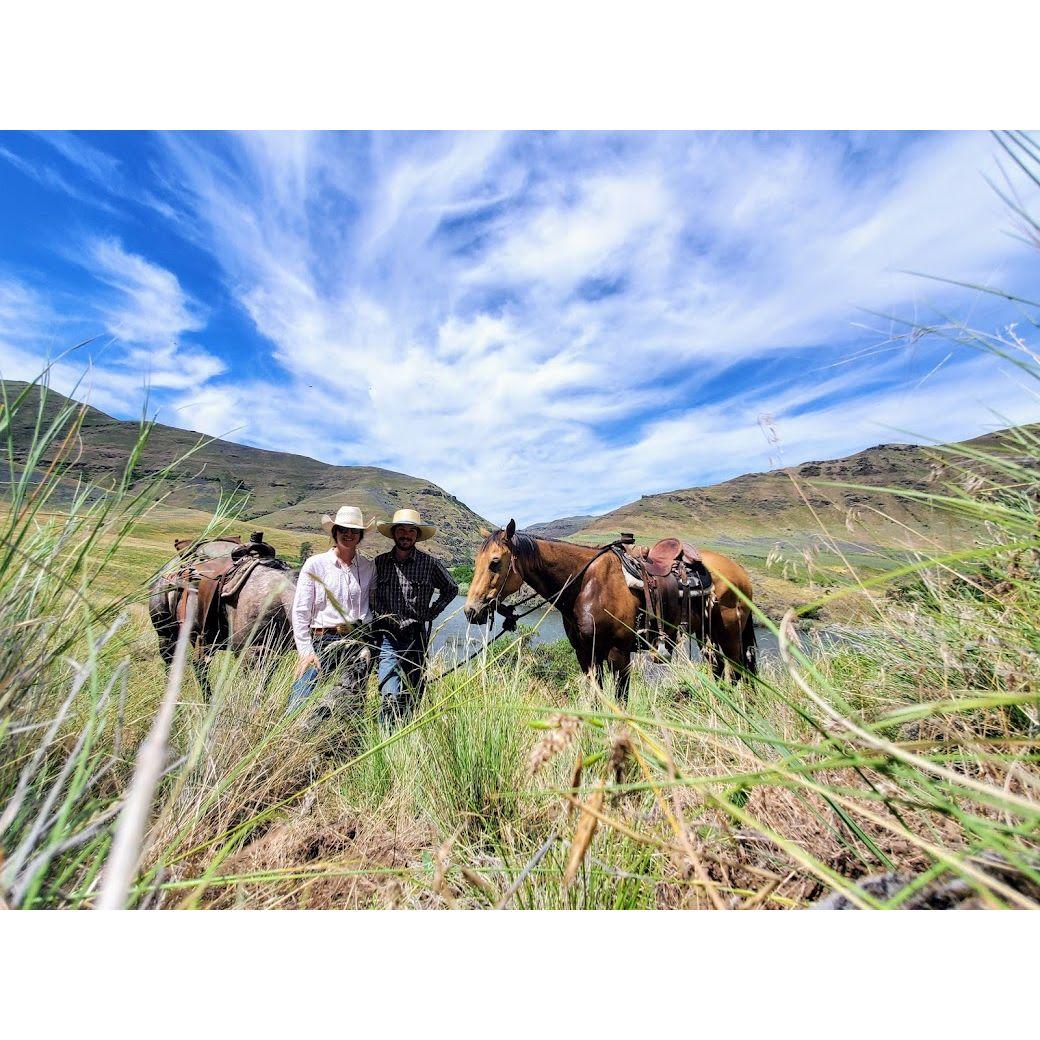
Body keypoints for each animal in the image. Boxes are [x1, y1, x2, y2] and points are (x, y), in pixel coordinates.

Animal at [463, 520, 757, 698]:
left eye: (495, 562)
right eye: (475, 563)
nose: (470, 611)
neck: (584, 584)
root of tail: (740, 572)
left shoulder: (619, 654)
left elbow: (620, 700)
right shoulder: (586, 655)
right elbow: (597, 700)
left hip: (730, 634)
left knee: (738, 670)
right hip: (708, 634)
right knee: (720, 667)